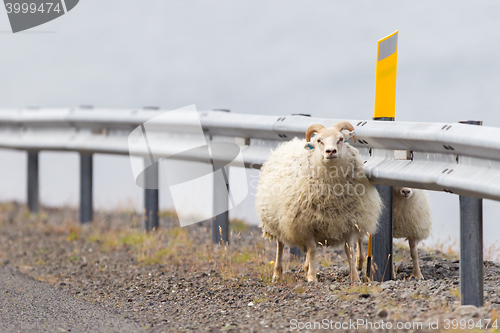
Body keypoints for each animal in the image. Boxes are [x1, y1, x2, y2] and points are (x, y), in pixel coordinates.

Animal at [256, 120, 380, 282]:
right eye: (319, 141)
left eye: (341, 139)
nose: (331, 151)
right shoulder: (305, 223)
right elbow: (313, 249)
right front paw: (312, 277)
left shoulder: (348, 221)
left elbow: (349, 251)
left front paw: (355, 278)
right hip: (276, 221)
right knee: (280, 245)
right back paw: (277, 273)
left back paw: (305, 267)